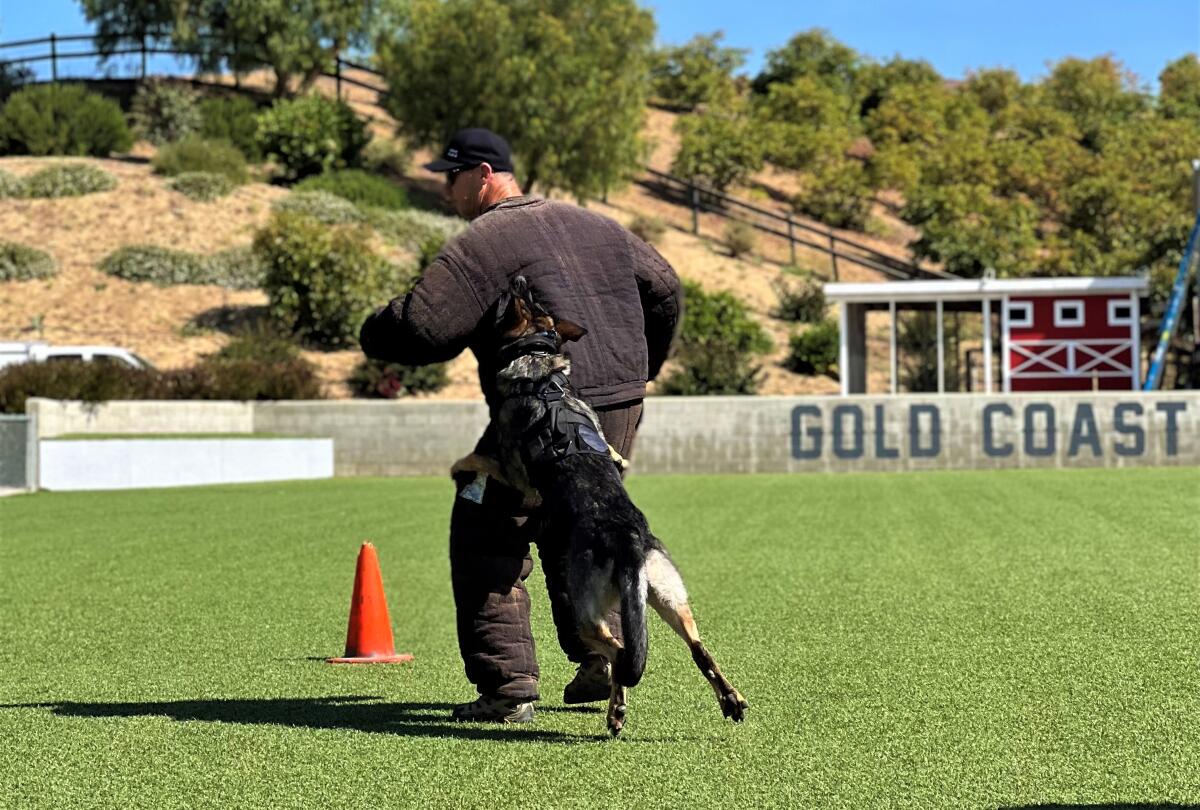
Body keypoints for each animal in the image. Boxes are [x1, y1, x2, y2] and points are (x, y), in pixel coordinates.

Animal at [460, 276, 748, 739]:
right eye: (532, 300)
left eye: (518, 299)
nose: (518, 279)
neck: (541, 373)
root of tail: (627, 542)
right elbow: (615, 454)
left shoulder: (514, 470)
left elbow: (487, 463)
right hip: (670, 598)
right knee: (697, 650)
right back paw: (730, 700)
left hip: (585, 613)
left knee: (618, 654)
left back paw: (616, 710)